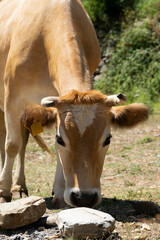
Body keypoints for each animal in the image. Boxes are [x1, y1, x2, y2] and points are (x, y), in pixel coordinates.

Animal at [0, 0, 149, 207]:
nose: (84, 197)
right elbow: (12, 144)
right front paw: (3, 191)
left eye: (108, 139)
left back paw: (19, 186)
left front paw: (59, 193)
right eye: (60, 139)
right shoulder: (12, 99)